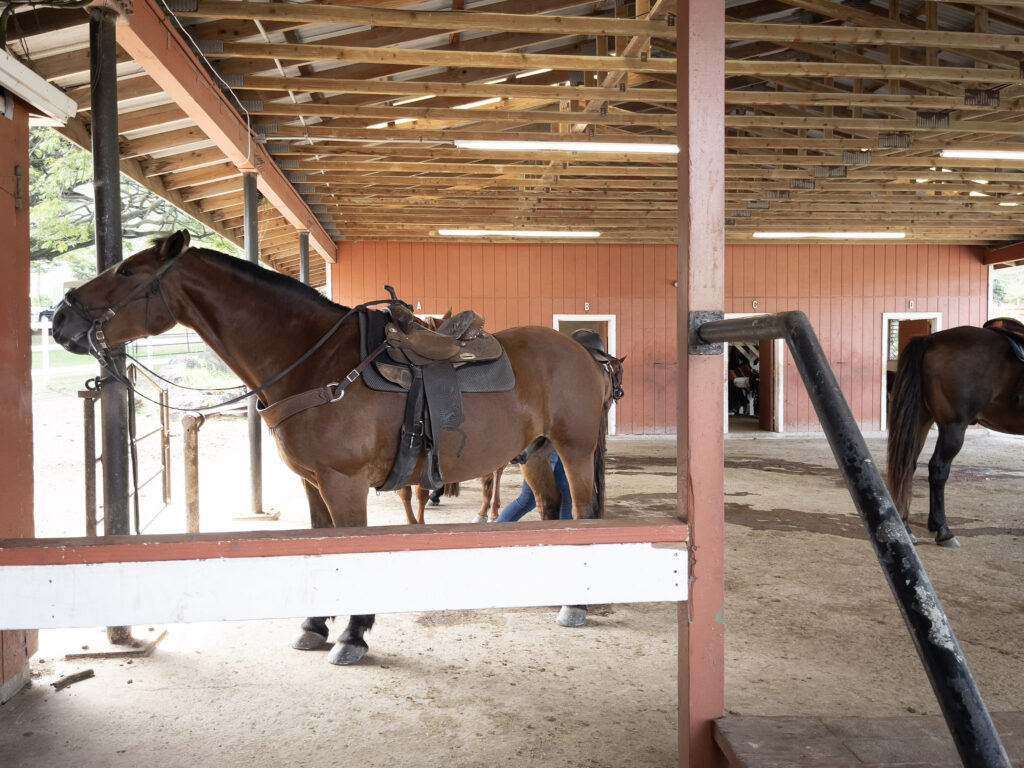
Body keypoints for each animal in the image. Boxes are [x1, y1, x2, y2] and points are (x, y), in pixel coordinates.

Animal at [51, 230, 621, 665]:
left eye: (127, 270)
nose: (59, 320)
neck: (316, 364)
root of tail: (585, 356)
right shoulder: (313, 482)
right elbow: (322, 546)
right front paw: (314, 627)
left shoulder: (344, 483)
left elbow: (351, 551)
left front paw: (352, 634)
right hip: (538, 453)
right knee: (552, 510)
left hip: (572, 449)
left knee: (582, 511)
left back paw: (576, 605)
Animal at [887, 322, 1024, 546]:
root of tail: (931, 339)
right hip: (953, 427)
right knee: (938, 469)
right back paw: (943, 530)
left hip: (921, 420)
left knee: (908, 465)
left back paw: (906, 527)